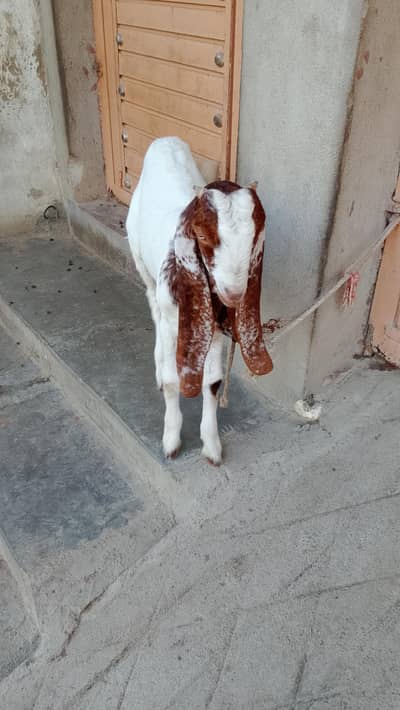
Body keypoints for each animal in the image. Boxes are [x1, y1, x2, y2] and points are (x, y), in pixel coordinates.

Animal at [126, 137, 273, 464]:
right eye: (202, 237)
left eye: (255, 237)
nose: (233, 294)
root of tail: (165, 140)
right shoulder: (178, 318)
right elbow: (173, 379)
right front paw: (171, 441)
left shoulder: (214, 326)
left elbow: (213, 381)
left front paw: (212, 445)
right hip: (141, 261)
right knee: (153, 308)